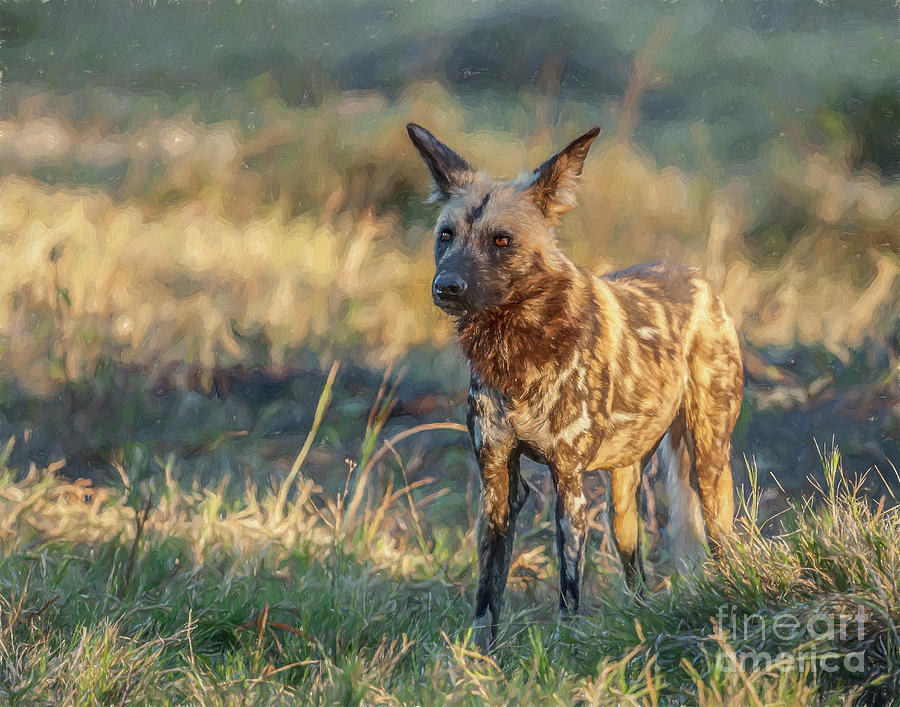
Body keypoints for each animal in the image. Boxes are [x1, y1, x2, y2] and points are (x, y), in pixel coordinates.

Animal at [408, 120, 744, 652]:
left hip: (708, 467)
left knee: (721, 542)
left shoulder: (568, 483)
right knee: (637, 574)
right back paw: (640, 625)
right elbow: (487, 595)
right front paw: (481, 661)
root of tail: (695, 275)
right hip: (623, 498)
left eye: (501, 240)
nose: (446, 287)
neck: (517, 350)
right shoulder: (498, 482)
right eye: (446, 236)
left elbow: (569, 592)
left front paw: (566, 654)